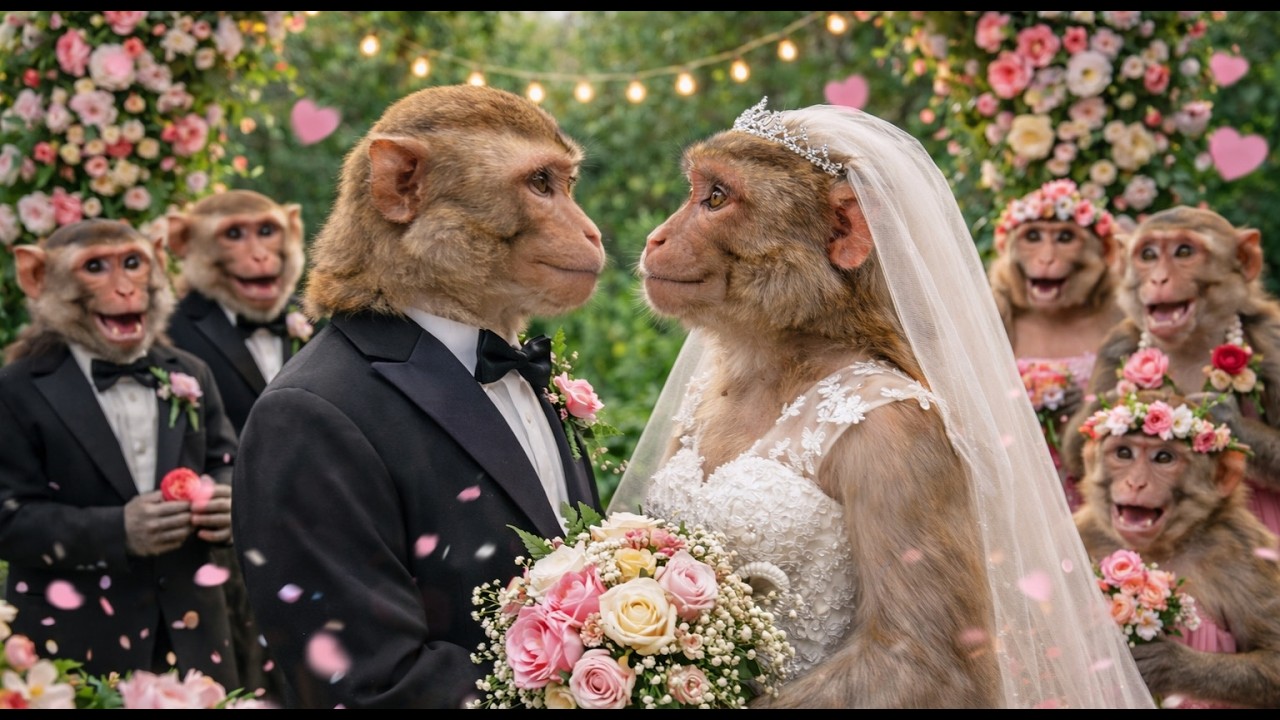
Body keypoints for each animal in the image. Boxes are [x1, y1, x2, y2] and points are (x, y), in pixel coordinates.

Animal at [0, 218, 241, 689]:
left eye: (131, 262)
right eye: (95, 267)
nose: (127, 290)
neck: (121, 369)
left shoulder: (198, 371)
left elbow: (222, 459)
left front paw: (218, 508)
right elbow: (17, 511)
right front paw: (140, 524)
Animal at [230, 84, 606, 709]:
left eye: (565, 183)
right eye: (540, 184)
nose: (592, 231)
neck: (485, 348)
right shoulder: (304, 440)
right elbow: (379, 665)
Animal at [1062, 206, 1280, 539]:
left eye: (1184, 251)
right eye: (1148, 255)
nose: (1158, 278)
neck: (1190, 342)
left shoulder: (1273, 338)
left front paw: (1223, 414)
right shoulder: (1116, 344)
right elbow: (1078, 455)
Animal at [1074, 388, 1280, 708]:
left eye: (1163, 457)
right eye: (1124, 453)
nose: (1135, 483)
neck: (1161, 547)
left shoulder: (1241, 551)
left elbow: (1273, 654)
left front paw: (1166, 664)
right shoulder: (1084, 531)